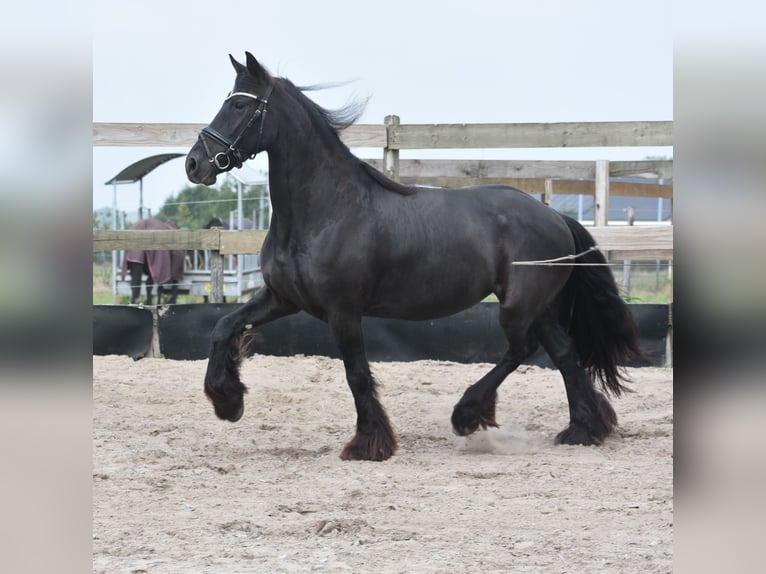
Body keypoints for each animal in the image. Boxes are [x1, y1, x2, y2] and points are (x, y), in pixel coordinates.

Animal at [185, 53, 646, 461]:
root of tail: (554, 215)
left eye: (240, 104)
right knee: (564, 353)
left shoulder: (343, 311)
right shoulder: (283, 298)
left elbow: (356, 374)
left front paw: (368, 445)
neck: (324, 211)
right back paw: (582, 430)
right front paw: (227, 401)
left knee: (522, 349)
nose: (195, 164)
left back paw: (469, 414)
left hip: (519, 306)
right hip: (540, 306)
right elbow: (223, 327)